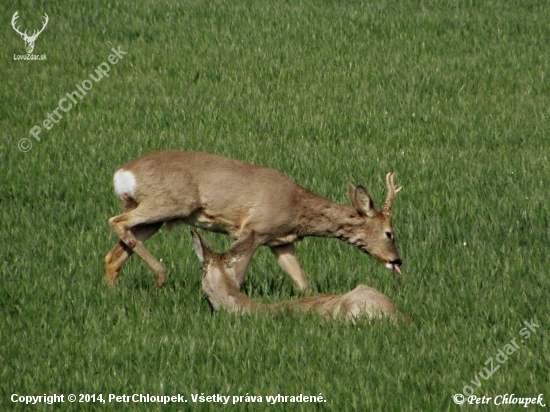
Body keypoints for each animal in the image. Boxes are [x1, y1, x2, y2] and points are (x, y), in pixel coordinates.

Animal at [104, 150, 406, 288]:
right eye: (389, 233)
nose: (397, 260)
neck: (295, 206)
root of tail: (121, 174)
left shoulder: (281, 241)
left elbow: (302, 281)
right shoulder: (254, 230)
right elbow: (235, 276)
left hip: (154, 217)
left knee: (114, 253)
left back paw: (114, 290)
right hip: (169, 203)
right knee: (116, 221)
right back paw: (160, 274)